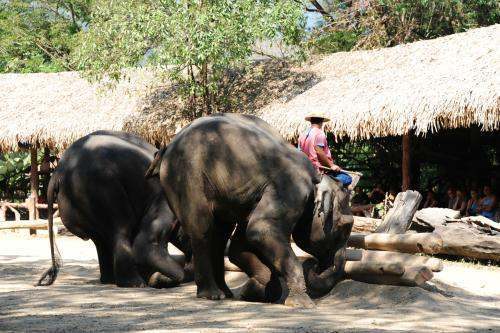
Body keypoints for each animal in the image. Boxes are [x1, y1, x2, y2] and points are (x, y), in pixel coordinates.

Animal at [37, 130, 192, 288]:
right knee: (120, 229)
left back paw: (110, 280)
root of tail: (56, 174)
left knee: (100, 240)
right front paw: (158, 278)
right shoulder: (163, 201)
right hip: (102, 187)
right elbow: (145, 245)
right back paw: (135, 284)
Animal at [146, 113, 354, 306]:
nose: (315, 265)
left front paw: (254, 291)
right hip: (186, 177)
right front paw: (302, 303)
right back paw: (211, 294)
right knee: (202, 229)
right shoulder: (290, 189)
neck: (316, 178)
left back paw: (226, 293)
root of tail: (166, 148)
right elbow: (260, 230)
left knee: (220, 235)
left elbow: (242, 244)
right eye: (343, 229)